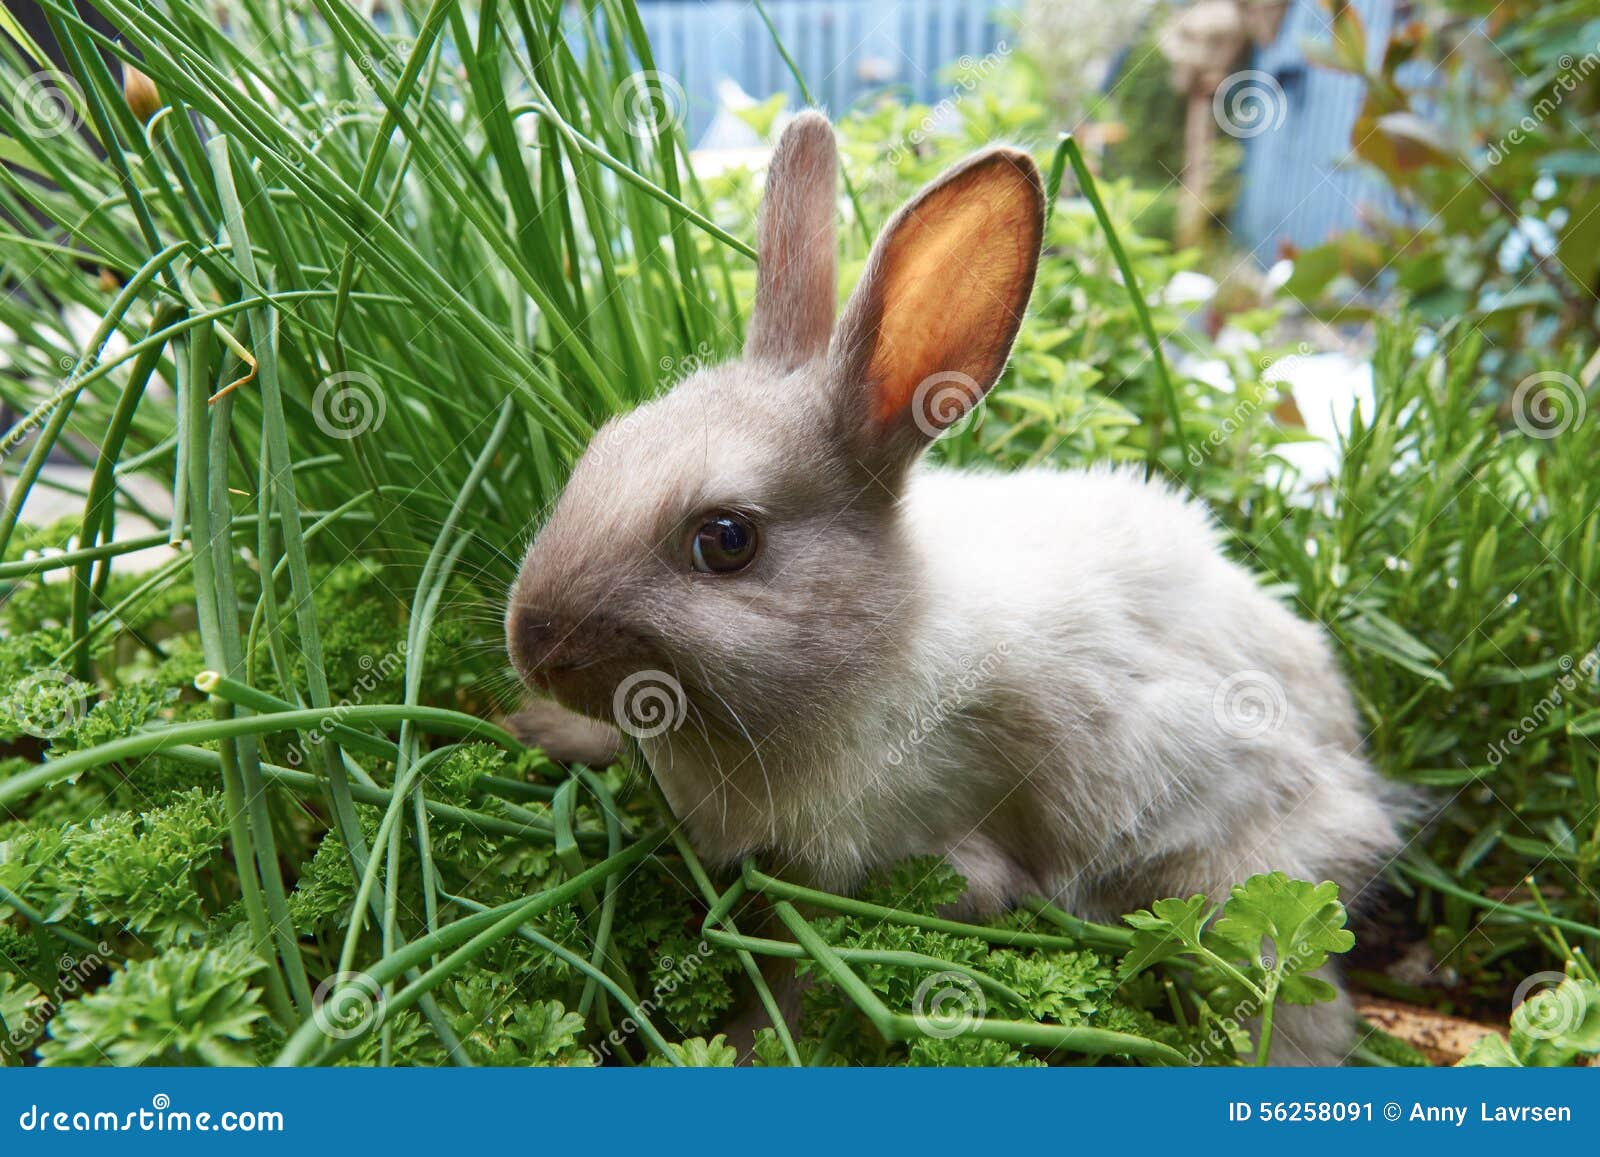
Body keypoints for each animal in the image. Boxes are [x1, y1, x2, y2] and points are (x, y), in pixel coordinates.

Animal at [504, 111, 1406, 1065]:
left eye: (726, 540)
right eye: (602, 447)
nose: (531, 644)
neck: (875, 639)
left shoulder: (895, 860)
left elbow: (801, 975)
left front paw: (742, 1043)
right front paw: (538, 727)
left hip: (1238, 886)